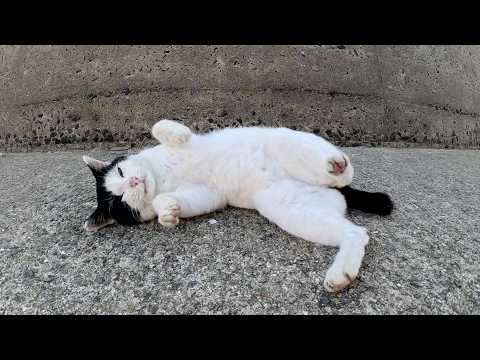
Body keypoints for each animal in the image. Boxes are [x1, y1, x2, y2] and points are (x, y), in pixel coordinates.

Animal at [82, 119, 392, 292]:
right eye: (120, 201)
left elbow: (159, 126)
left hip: (285, 141)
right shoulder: (207, 194)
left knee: (342, 171)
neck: (162, 178)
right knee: (356, 233)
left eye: (120, 172)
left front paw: (174, 134)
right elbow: (171, 202)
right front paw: (168, 212)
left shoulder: (191, 144)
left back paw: (337, 165)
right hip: (292, 210)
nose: (134, 181)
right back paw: (341, 275)